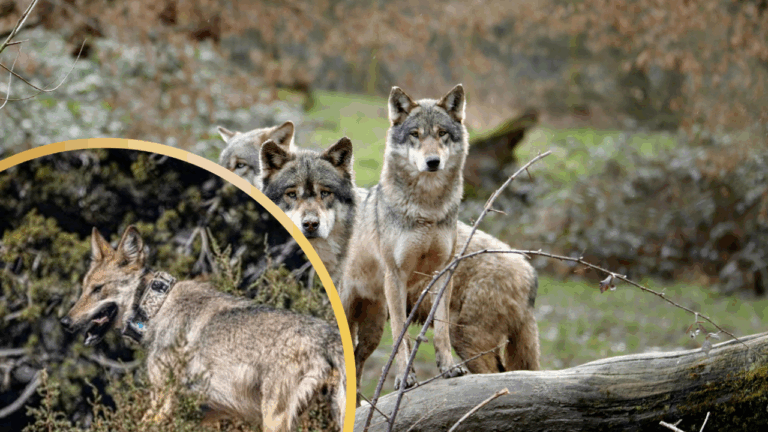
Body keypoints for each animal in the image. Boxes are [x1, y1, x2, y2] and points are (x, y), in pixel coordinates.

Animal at [60, 226, 346, 432]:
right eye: (84, 288)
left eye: (98, 289)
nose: (65, 322)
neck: (158, 307)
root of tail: (327, 336)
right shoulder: (201, 413)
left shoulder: (162, 402)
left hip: (275, 419)